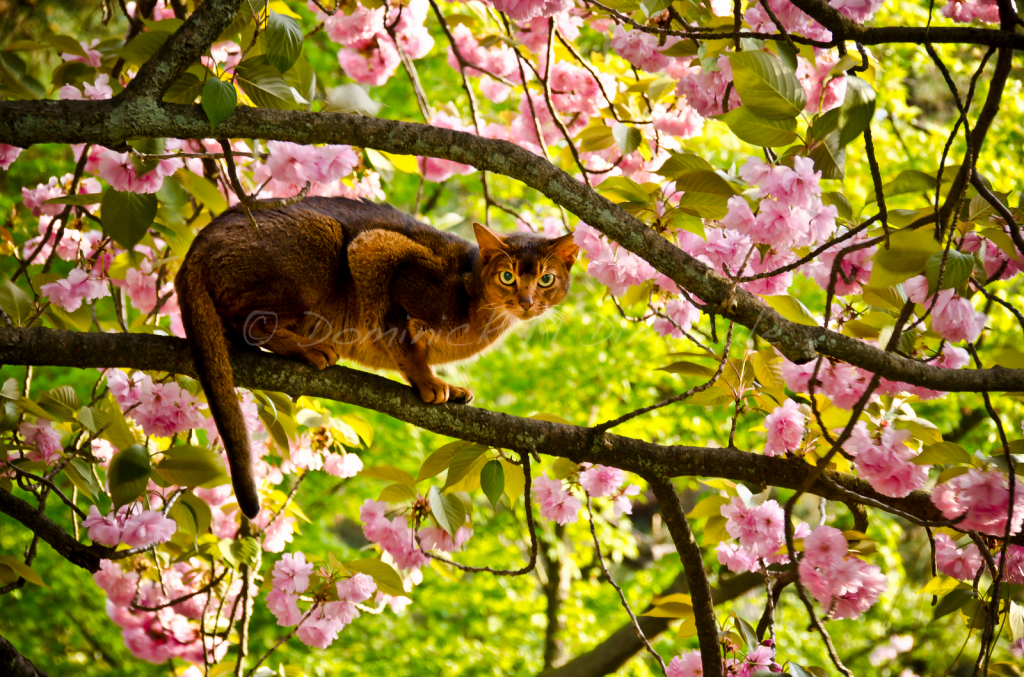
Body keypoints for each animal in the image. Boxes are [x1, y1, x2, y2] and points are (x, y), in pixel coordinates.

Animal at [176, 195, 577, 518]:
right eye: (508, 276)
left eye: (546, 280)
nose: (526, 302)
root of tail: (194, 247)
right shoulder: (379, 250)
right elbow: (402, 339)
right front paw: (429, 382)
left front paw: (447, 386)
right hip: (323, 240)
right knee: (247, 323)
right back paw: (308, 348)